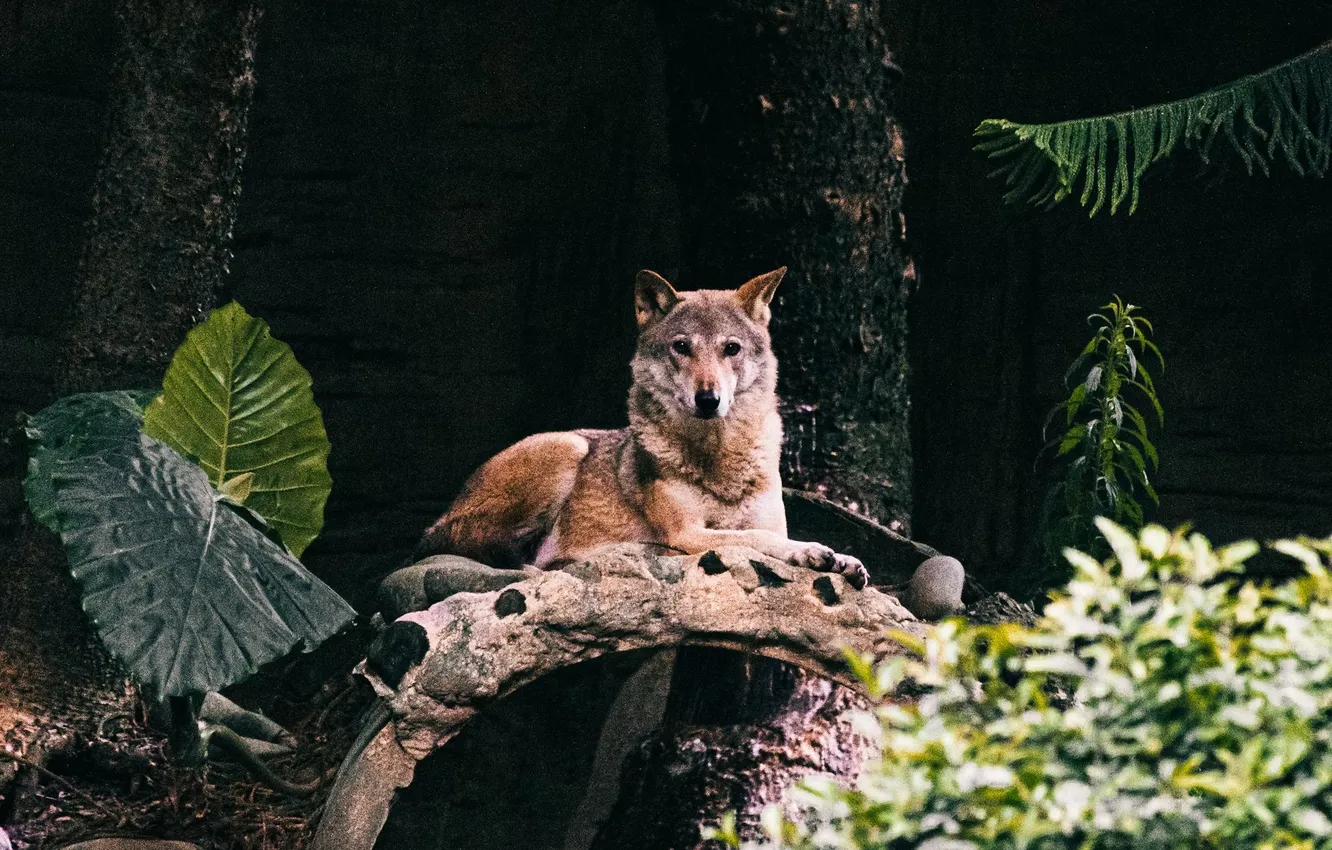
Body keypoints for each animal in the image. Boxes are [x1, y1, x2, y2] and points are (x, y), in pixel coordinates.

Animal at [416, 267, 868, 588]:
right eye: (681, 347)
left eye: (731, 348)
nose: (708, 399)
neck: (720, 459)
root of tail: (431, 527)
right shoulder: (688, 533)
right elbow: (759, 540)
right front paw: (813, 551)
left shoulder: (764, 518)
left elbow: (772, 535)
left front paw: (845, 560)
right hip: (566, 448)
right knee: (512, 555)